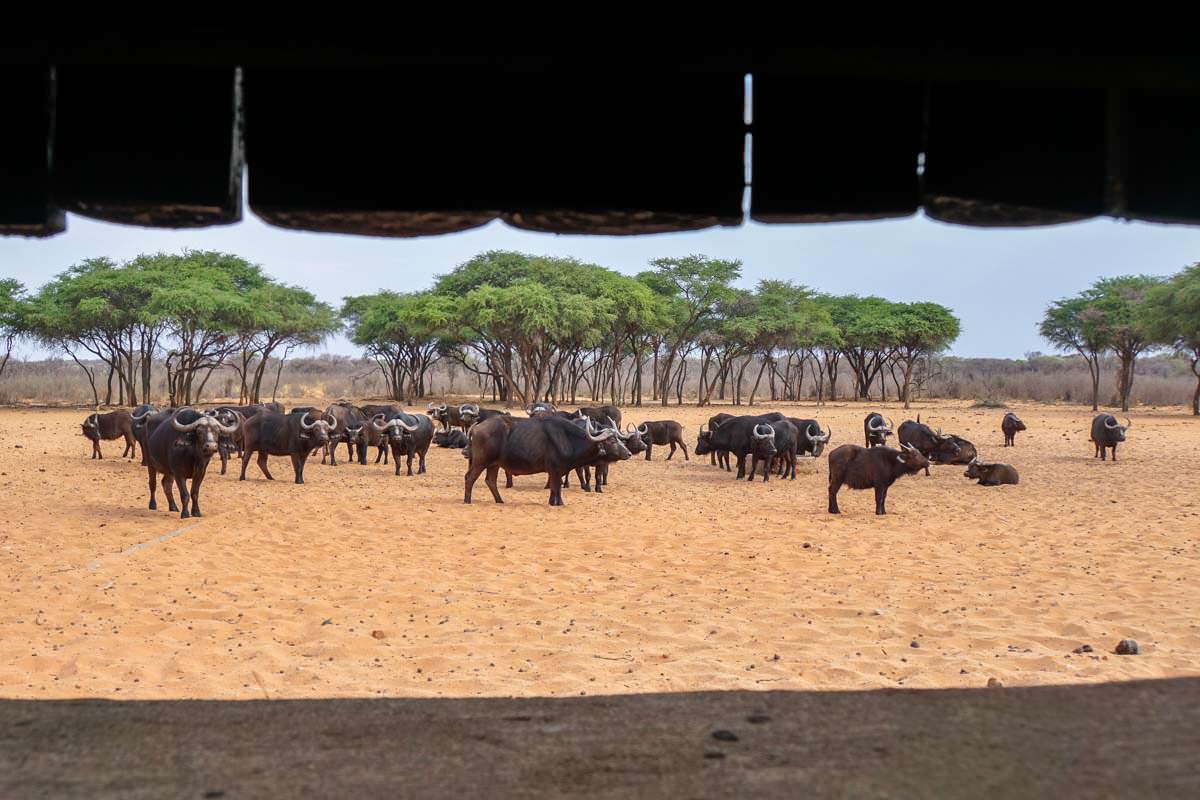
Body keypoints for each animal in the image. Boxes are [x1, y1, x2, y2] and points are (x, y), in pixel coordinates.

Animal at [460, 412, 628, 506]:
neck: (568, 439)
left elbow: (553, 488)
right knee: (469, 478)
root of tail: (476, 427)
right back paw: (467, 501)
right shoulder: (555, 469)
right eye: (612, 441)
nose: (628, 453)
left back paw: (500, 501)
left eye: (619, 439)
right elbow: (557, 488)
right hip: (480, 461)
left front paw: (552, 502)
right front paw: (560, 503)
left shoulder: (555, 472)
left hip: (494, 464)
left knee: (490, 481)